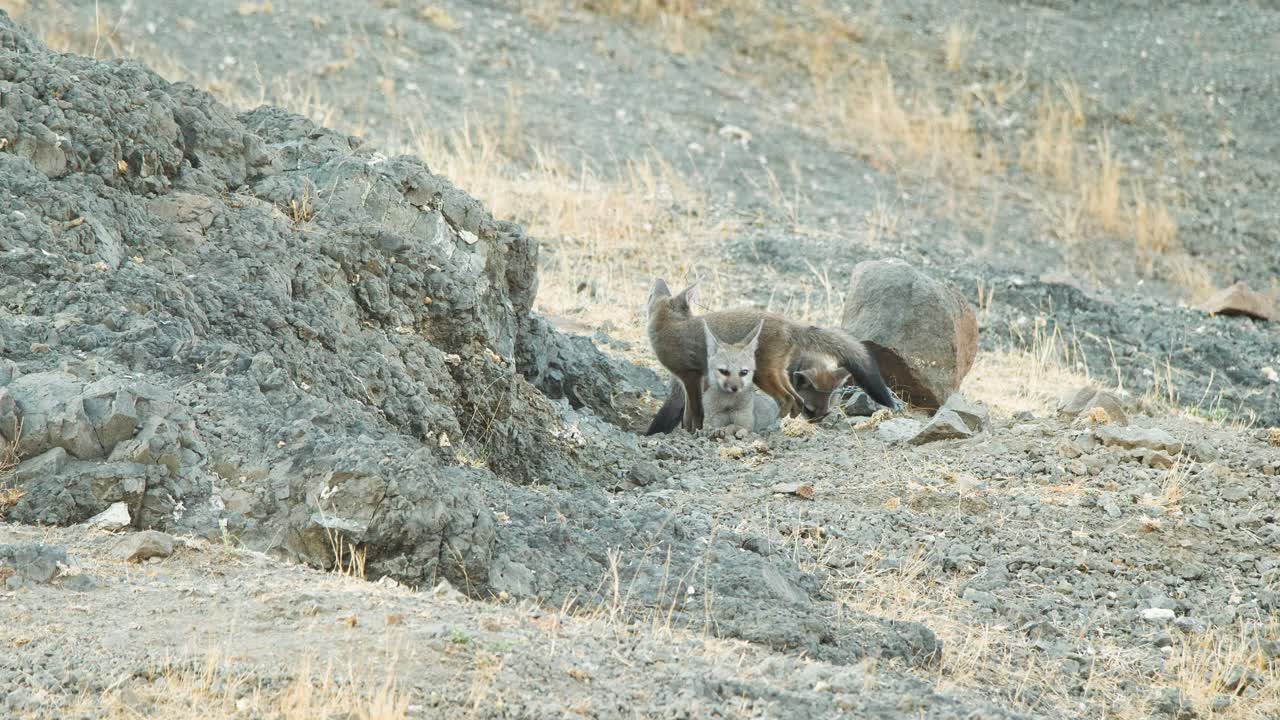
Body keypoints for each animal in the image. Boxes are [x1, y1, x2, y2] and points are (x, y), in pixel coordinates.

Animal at [645, 277, 896, 433]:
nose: (817, 421)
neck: (668, 326)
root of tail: (788, 323)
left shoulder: (690, 376)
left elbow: (695, 411)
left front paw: (693, 431)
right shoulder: (695, 380)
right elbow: (690, 412)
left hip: (762, 375)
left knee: (788, 399)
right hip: (776, 374)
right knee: (795, 400)